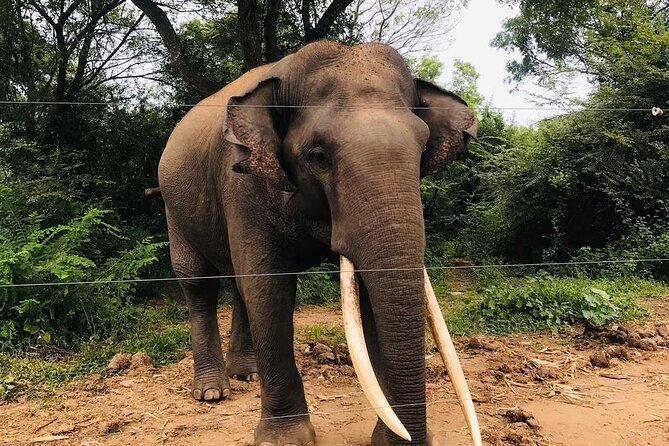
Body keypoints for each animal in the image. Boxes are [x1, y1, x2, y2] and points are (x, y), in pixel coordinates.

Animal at [157, 40, 479, 446]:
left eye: (422, 151)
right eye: (319, 156)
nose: (410, 438)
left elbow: (364, 295)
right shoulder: (241, 183)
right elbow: (269, 286)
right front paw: (283, 440)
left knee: (237, 284)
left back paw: (246, 374)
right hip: (174, 209)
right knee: (199, 283)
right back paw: (213, 392)